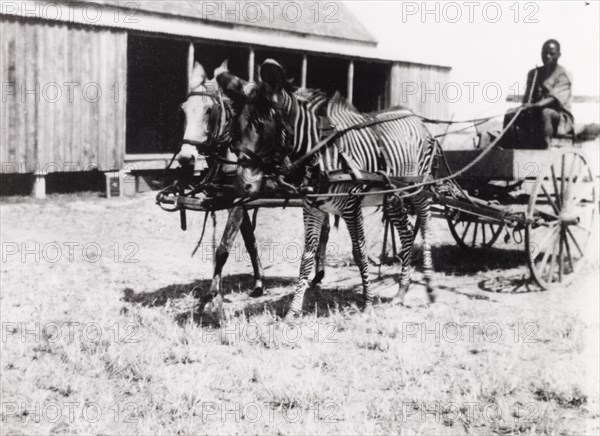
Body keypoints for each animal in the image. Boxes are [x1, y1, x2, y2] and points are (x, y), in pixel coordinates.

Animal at [175, 61, 332, 314]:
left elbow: (223, 247)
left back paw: (318, 276)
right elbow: (250, 243)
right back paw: (317, 274)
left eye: (209, 111)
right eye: (183, 111)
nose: (185, 158)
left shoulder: (239, 203)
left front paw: (212, 294)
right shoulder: (240, 200)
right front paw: (259, 283)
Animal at [216, 58, 436, 316]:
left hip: (419, 188)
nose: (242, 186)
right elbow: (307, 257)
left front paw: (367, 303)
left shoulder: (351, 207)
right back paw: (401, 291)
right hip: (392, 196)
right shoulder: (312, 208)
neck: (318, 153)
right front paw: (293, 312)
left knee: (425, 225)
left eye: (263, 128)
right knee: (407, 232)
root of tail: (415, 117)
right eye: (236, 128)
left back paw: (430, 286)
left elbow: (359, 253)